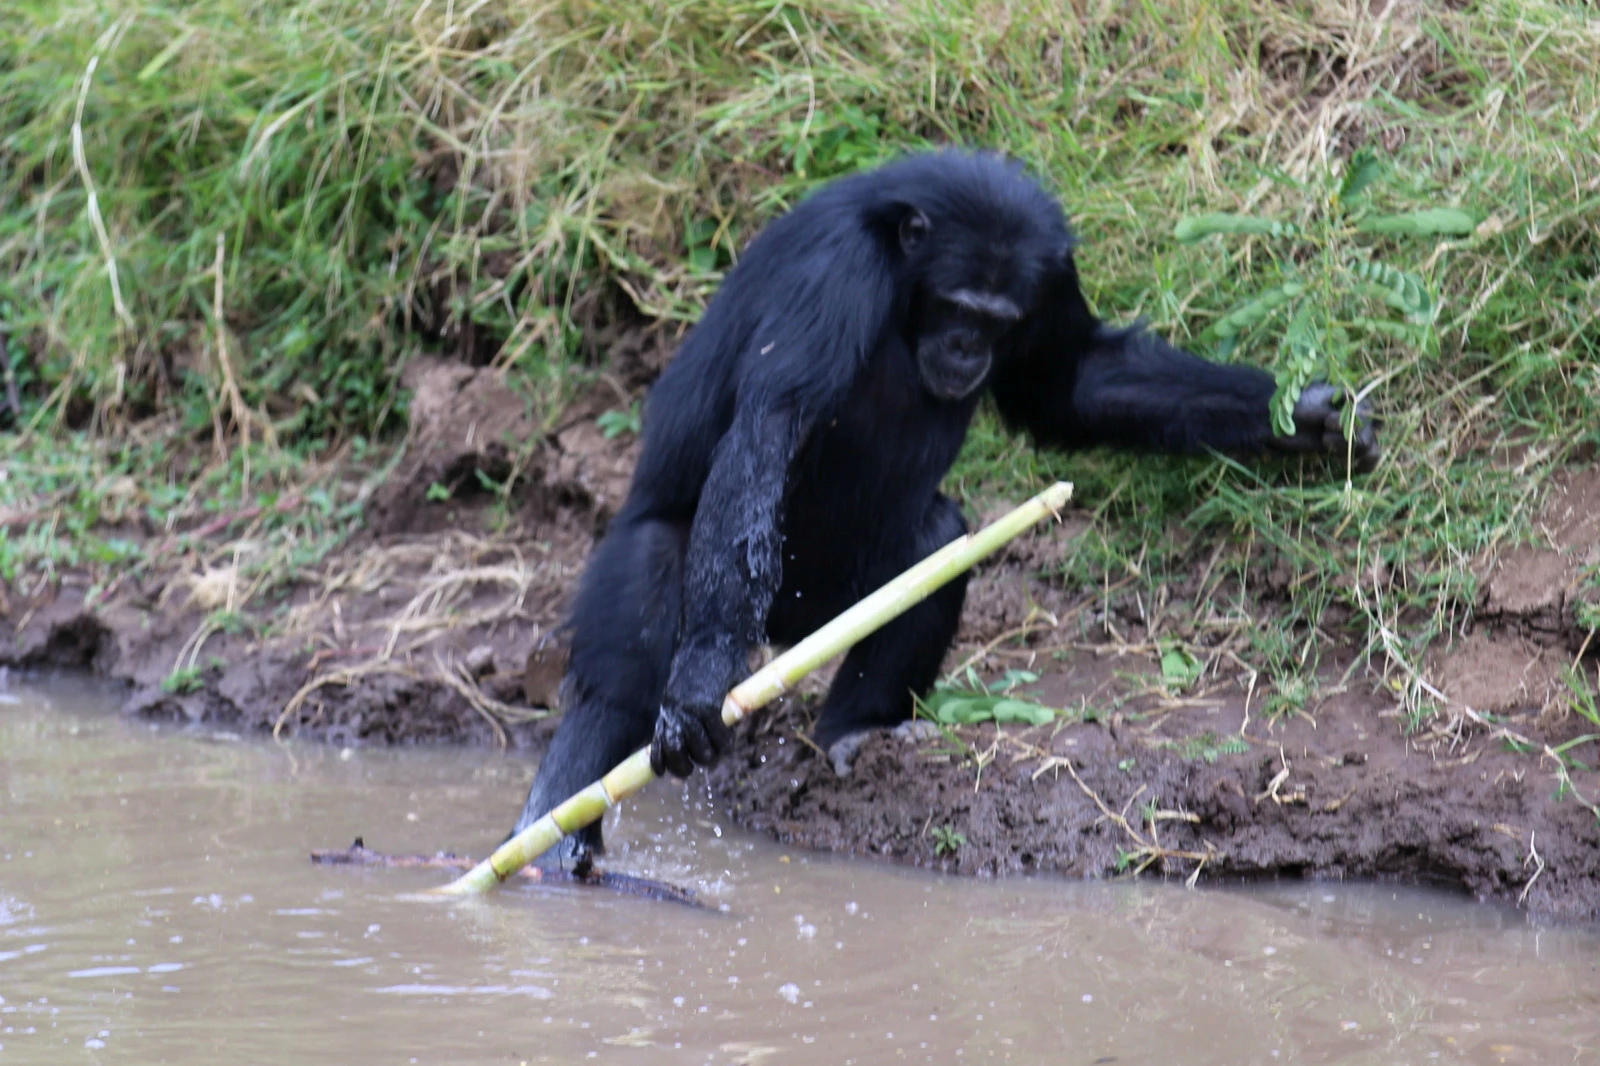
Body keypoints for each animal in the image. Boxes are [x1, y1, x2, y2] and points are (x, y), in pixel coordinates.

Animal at [508, 149, 1376, 857]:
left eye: (999, 318)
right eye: (957, 306)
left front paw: (1306, 419)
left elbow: (1066, 383)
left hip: (830, 600)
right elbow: (767, 428)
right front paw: (696, 685)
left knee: (936, 541)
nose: (966, 348)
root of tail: (785, 638)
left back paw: (854, 734)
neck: (901, 269)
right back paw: (555, 837)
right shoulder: (835, 270)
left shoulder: (1049, 279)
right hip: (694, 570)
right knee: (630, 644)